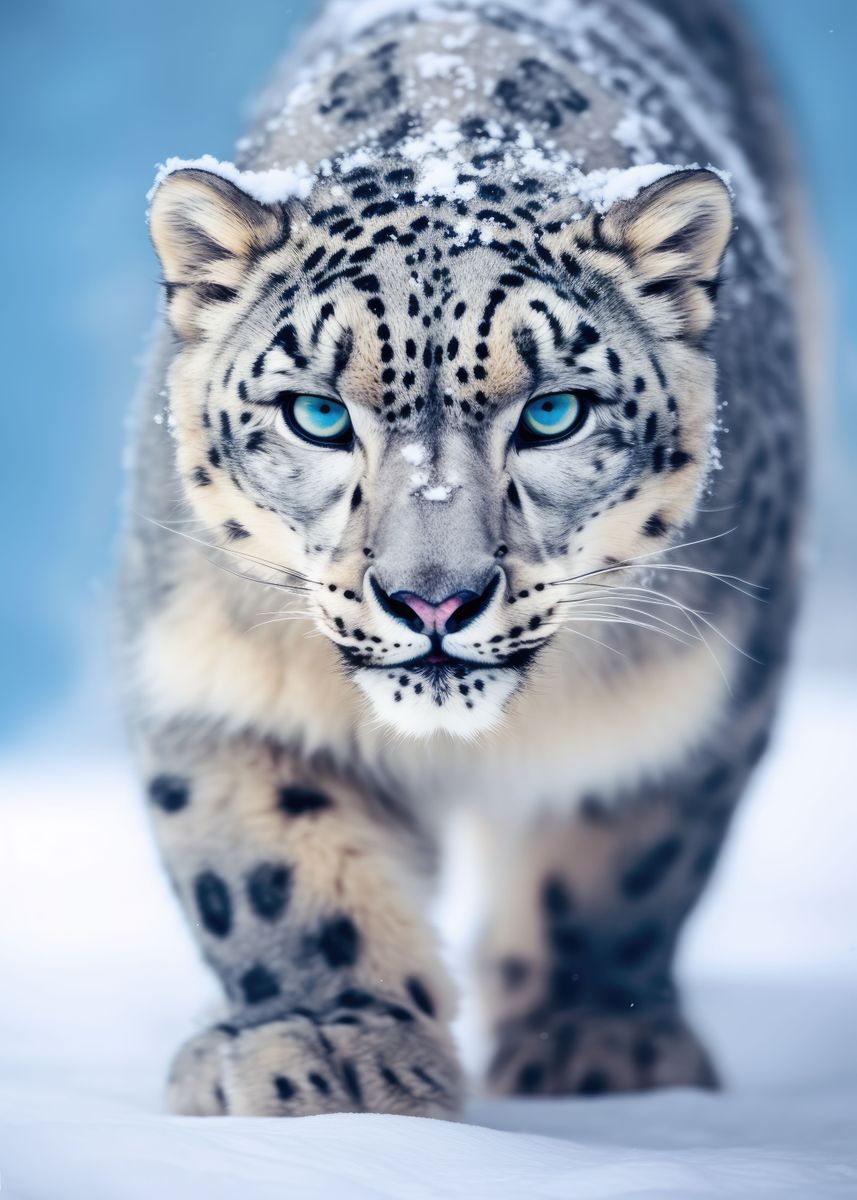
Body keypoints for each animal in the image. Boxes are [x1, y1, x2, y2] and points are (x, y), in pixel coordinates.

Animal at [120, 0, 807, 1118]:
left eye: (553, 411)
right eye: (317, 413)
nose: (432, 602)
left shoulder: (693, 699)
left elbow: (620, 867)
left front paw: (595, 1050)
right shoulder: (213, 672)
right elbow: (264, 863)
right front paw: (329, 1049)